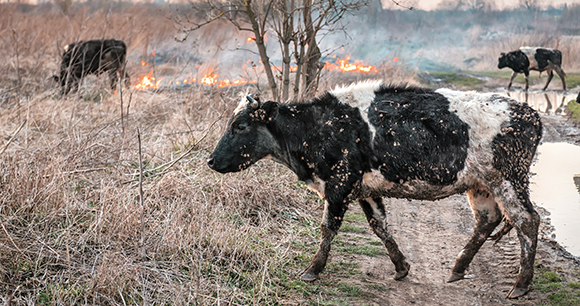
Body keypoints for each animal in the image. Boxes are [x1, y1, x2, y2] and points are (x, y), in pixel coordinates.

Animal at [207, 81, 544, 298]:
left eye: (240, 126)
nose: (211, 160)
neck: (318, 127)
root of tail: (527, 111)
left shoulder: (339, 184)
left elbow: (328, 228)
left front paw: (313, 269)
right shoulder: (364, 189)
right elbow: (379, 225)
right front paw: (401, 266)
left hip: (508, 180)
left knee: (527, 220)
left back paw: (521, 285)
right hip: (481, 185)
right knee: (487, 221)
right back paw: (458, 268)